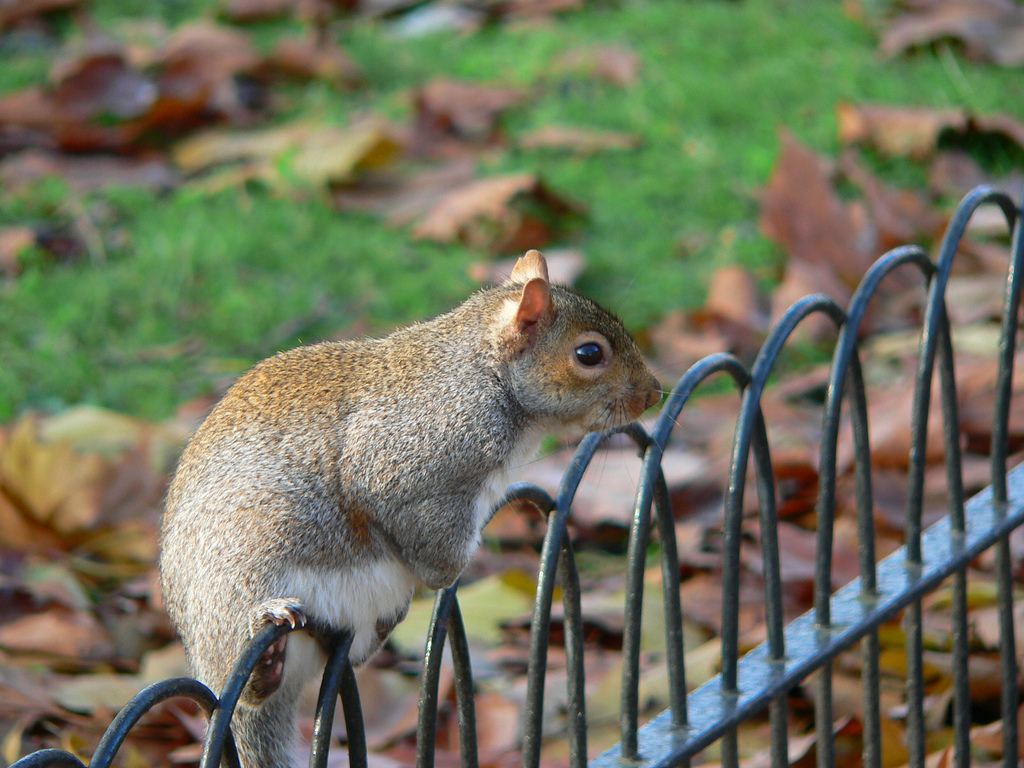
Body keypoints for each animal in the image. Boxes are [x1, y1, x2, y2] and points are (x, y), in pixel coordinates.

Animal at [155, 249, 659, 765]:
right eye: (589, 354)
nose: (653, 393)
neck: (483, 374)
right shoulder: (407, 465)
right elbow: (428, 539)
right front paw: (446, 573)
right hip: (238, 576)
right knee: (245, 679)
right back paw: (263, 656)